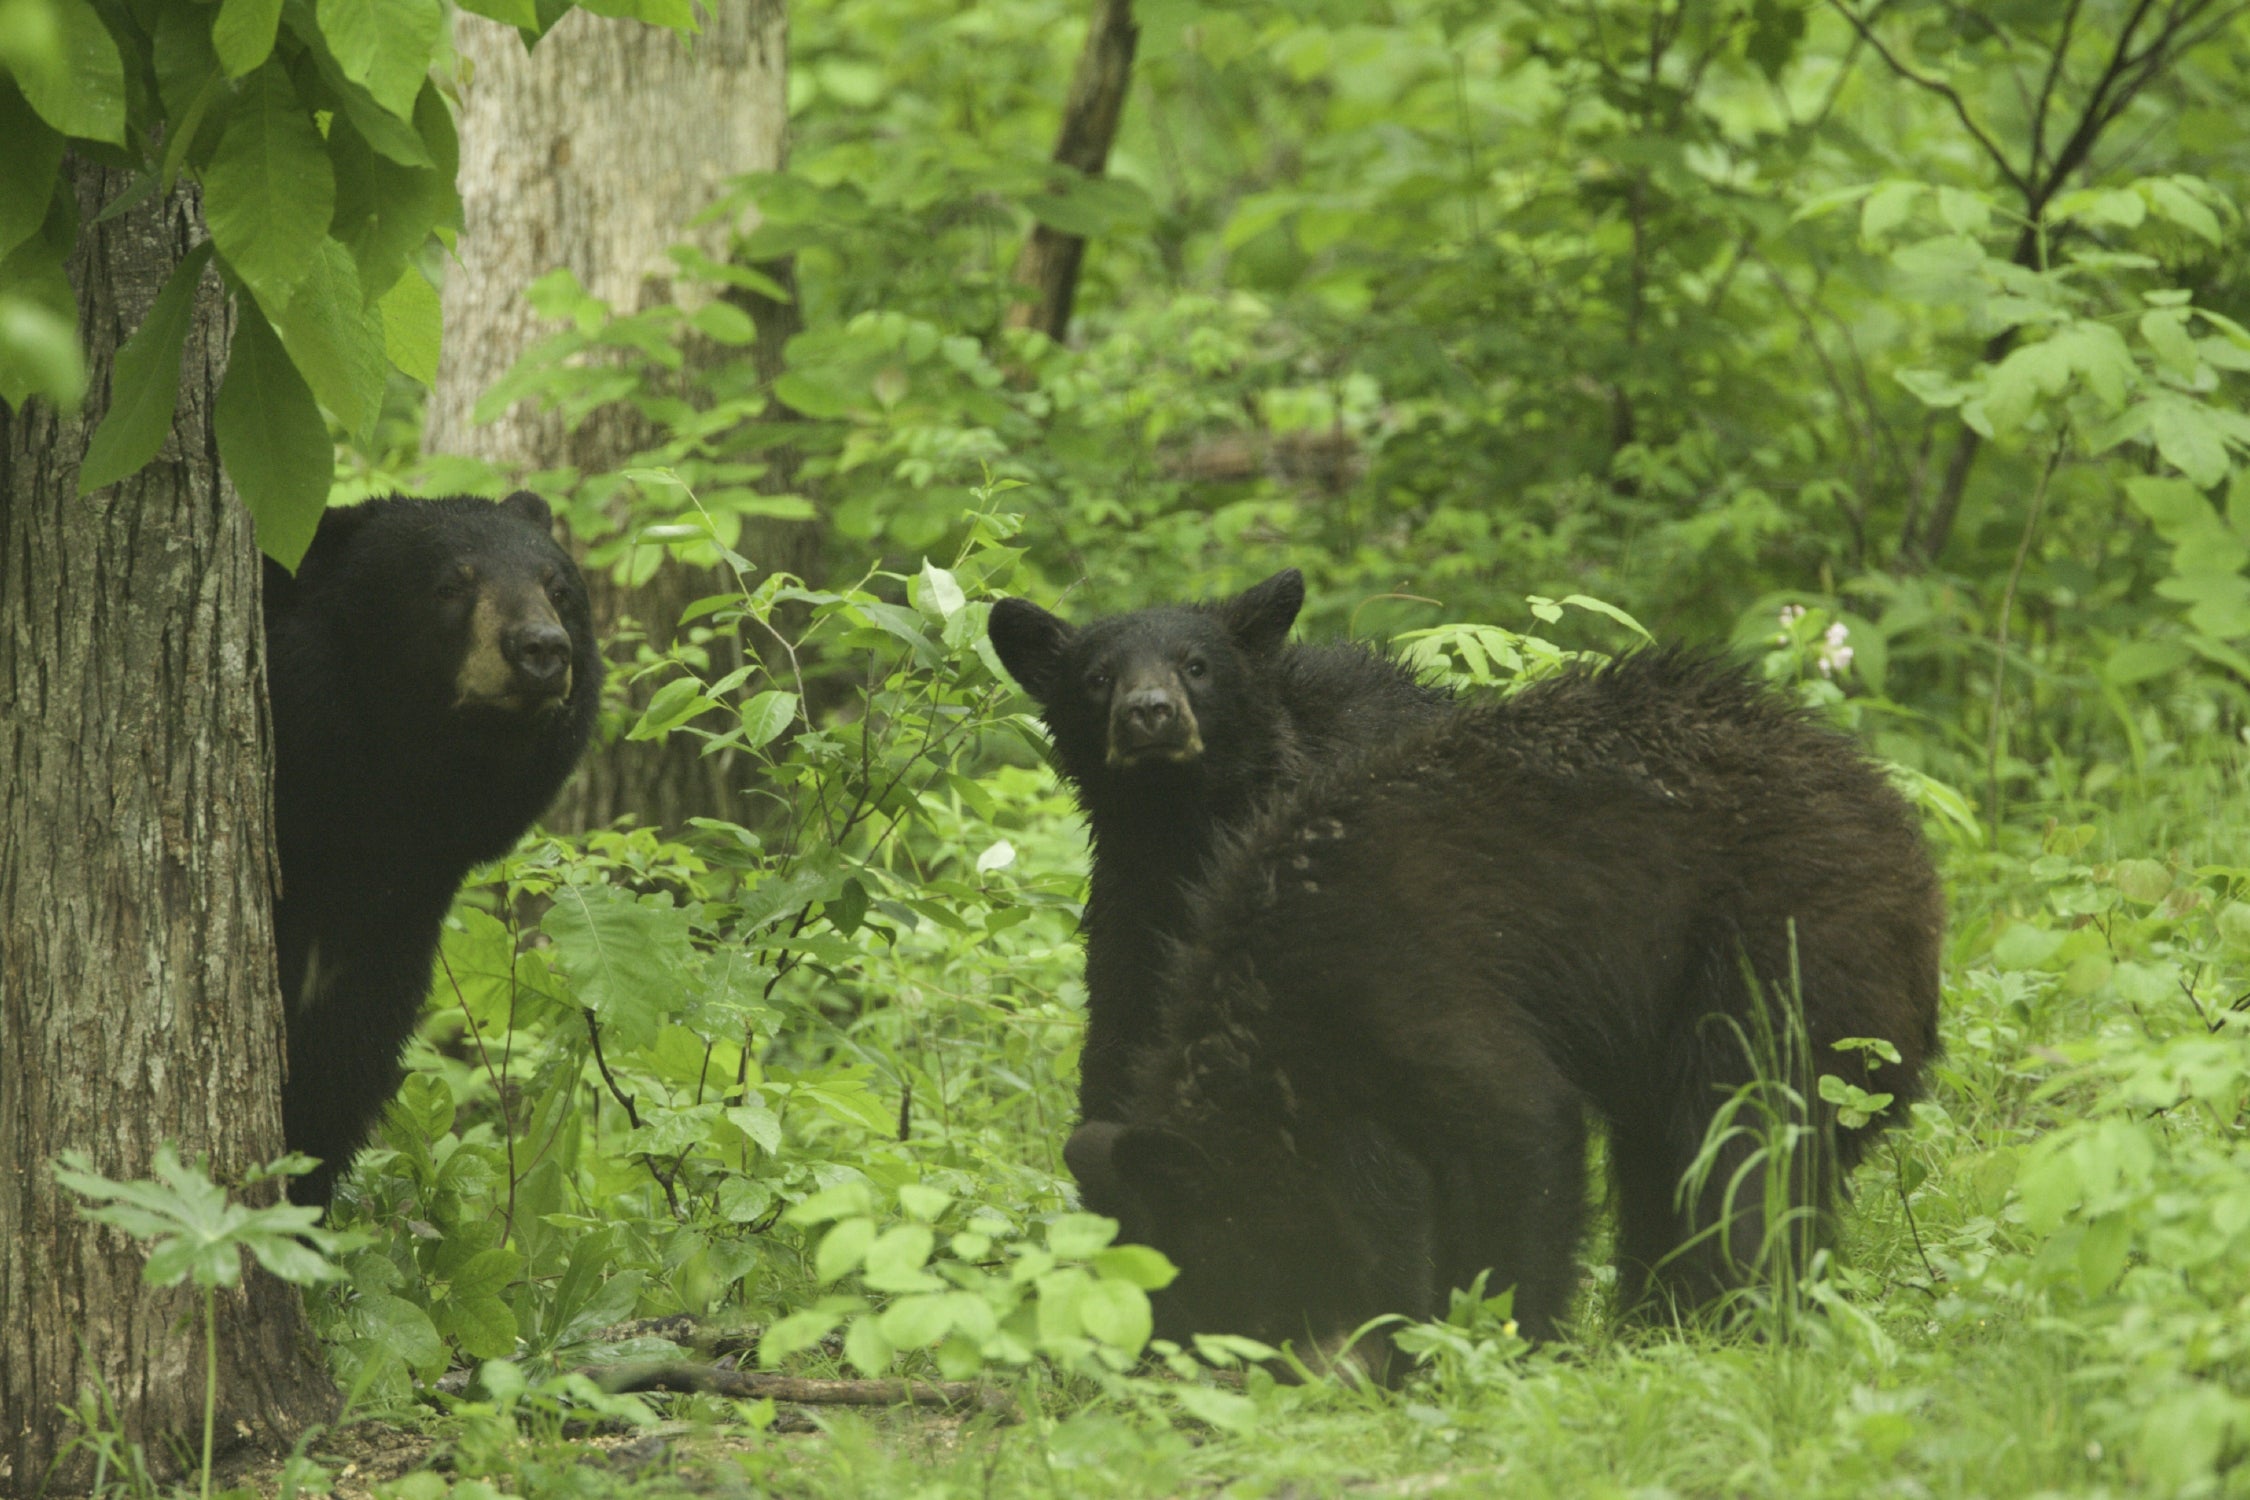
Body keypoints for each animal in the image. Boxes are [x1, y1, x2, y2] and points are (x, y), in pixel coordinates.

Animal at [990, 575, 1449, 1124]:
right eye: (1098, 677)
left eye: (1195, 665)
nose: (1149, 710)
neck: (1185, 823)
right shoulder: (1136, 904)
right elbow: (1122, 1028)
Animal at [1062, 652, 1944, 1358]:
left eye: (1207, 1281)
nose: (1167, 1366)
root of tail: (1894, 816)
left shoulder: (1411, 977)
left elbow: (1517, 1135)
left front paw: (1498, 1338)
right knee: (1665, 1153)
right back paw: (1658, 1317)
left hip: (1779, 939)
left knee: (1743, 1136)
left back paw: (1732, 1318)